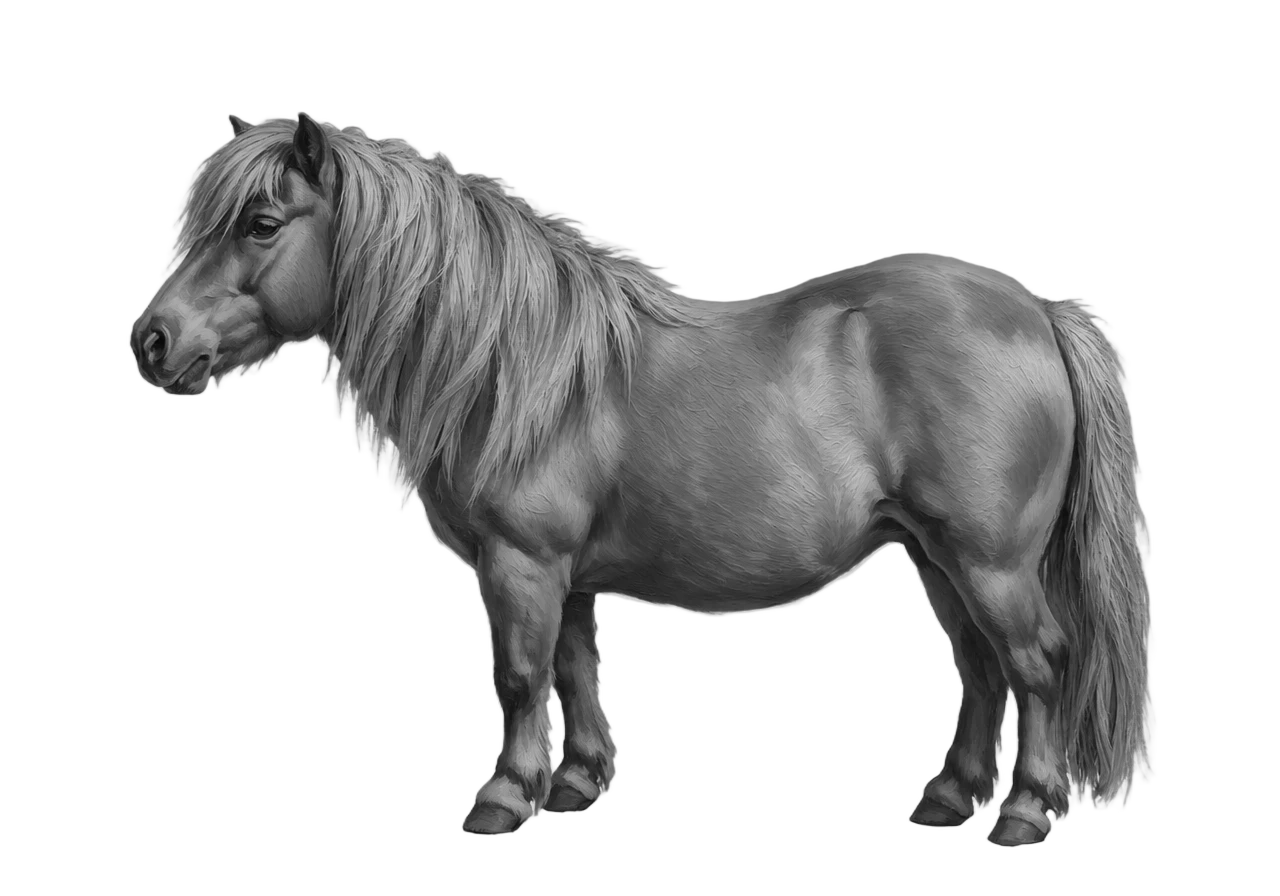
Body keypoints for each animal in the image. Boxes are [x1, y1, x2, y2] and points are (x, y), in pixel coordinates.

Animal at [130, 112, 1151, 846]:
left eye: (262, 224)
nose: (152, 341)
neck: (513, 367)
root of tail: (1037, 311)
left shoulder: (520, 563)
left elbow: (516, 677)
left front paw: (502, 798)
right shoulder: (566, 576)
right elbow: (572, 670)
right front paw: (574, 784)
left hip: (989, 563)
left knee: (1037, 665)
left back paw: (1022, 813)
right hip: (935, 558)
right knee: (982, 670)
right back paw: (947, 797)